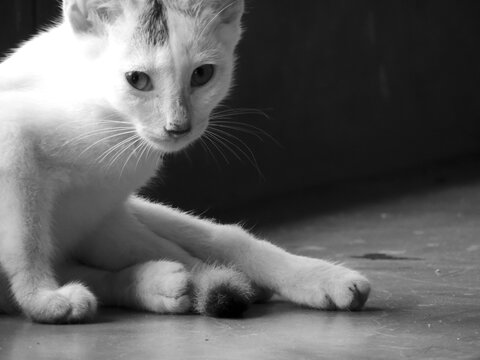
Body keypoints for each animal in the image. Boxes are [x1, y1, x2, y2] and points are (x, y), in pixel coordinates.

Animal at [0, 0, 372, 324]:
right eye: (137, 79)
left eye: (202, 74)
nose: (177, 127)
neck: (108, 120)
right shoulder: (13, 144)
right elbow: (27, 240)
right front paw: (40, 299)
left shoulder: (101, 214)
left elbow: (168, 249)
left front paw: (218, 282)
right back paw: (159, 283)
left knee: (222, 237)